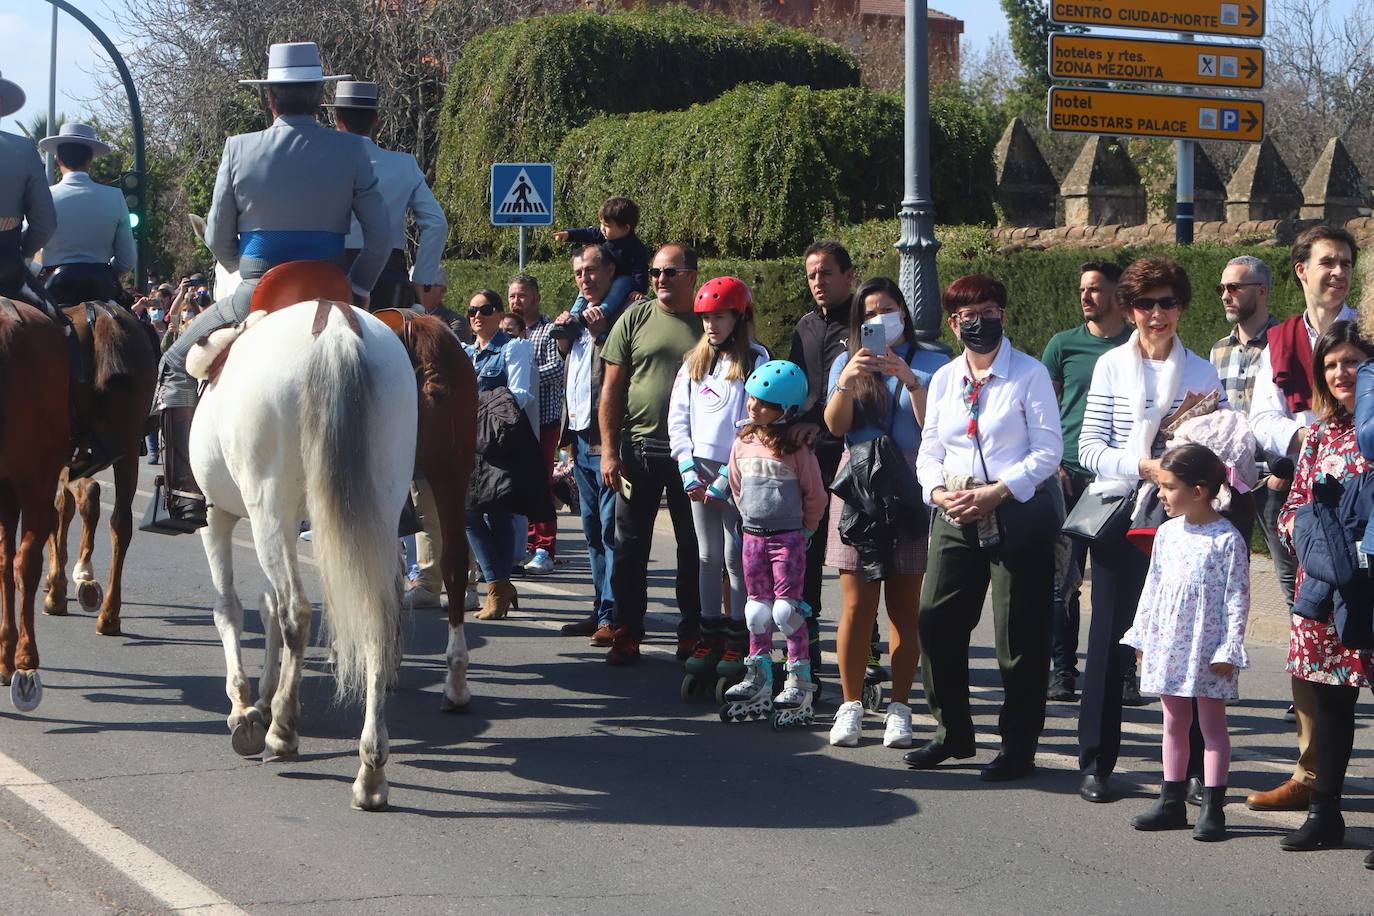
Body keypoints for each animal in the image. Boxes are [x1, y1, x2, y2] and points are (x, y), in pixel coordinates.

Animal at [43, 304, 158, 634]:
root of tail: (103, 317)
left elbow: (60, 508)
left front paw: (58, 586)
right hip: (128, 449)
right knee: (121, 522)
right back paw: (109, 614)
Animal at [192, 300, 417, 807]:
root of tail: (334, 327)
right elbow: (265, 605)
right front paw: (261, 694)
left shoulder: (219, 519)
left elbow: (230, 608)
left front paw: (244, 706)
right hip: (380, 510)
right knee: (377, 620)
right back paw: (371, 770)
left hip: (267, 507)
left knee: (296, 610)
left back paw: (282, 731)